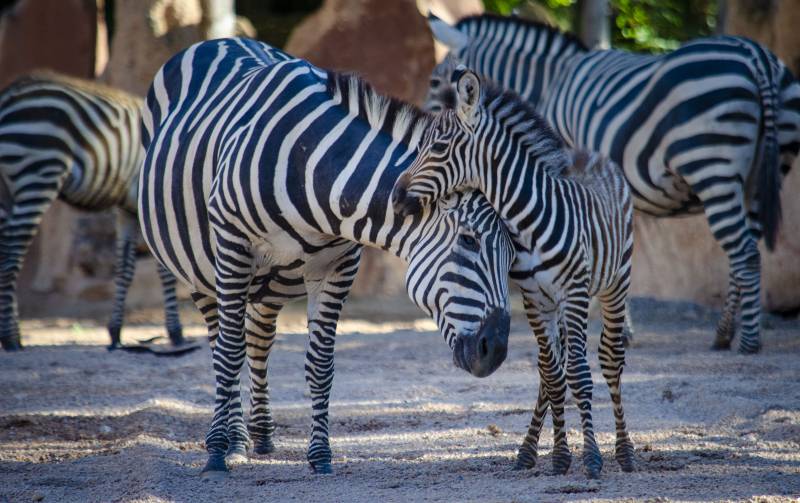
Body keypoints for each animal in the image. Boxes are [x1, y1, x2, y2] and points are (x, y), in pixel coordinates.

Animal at [0, 73, 183, 352]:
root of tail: (10, 94)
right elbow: (166, 271)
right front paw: (175, 331)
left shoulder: (128, 210)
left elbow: (125, 269)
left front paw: (115, 332)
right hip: (39, 171)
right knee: (11, 260)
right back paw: (11, 340)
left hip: (10, 190)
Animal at [138, 37, 512, 478]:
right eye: (470, 241)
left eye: (513, 255)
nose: (496, 353)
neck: (316, 172)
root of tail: (221, 40)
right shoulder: (233, 243)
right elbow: (229, 353)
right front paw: (214, 453)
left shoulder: (339, 265)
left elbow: (320, 364)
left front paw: (320, 455)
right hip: (200, 271)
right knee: (221, 343)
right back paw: (234, 440)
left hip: (272, 279)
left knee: (259, 339)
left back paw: (260, 436)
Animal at [390, 71, 636, 480]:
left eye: (438, 147)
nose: (394, 197)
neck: (528, 219)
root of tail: (592, 153)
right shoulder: (534, 296)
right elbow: (552, 375)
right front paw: (559, 457)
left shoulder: (573, 293)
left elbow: (579, 375)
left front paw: (592, 459)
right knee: (553, 366)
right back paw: (530, 451)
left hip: (615, 283)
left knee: (610, 359)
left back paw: (626, 452)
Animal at [424, 13, 800, 352]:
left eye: (435, 83)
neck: (550, 82)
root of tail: (757, 57)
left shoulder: (565, 165)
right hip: (761, 175)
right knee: (748, 250)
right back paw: (725, 333)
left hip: (712, 165)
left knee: (744, 253)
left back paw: (748, 341)